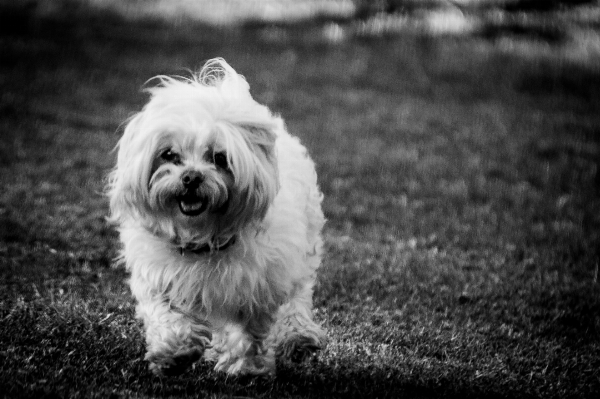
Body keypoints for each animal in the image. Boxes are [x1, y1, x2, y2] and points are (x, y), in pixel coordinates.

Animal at [105, 57, 326, 376]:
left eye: (220, 159)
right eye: (169, 155)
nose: (191, 177)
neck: (204, 235)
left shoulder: (259, 285)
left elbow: (251, 331)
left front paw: (245, 367)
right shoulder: (160, 278)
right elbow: (168, 315)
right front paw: (174, 353)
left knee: (297, 298)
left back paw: (297, 337)